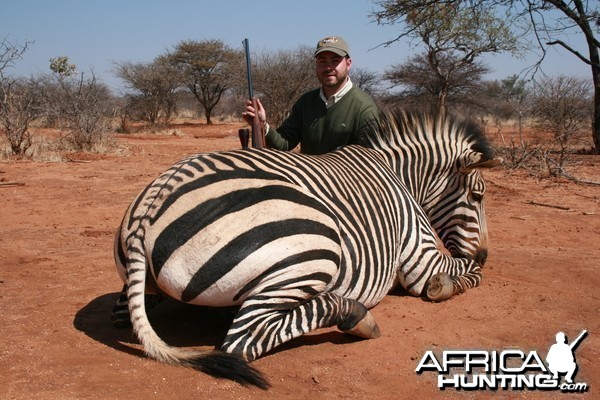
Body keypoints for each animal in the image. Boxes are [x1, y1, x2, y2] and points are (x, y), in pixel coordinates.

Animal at [111, 108, 502, 388]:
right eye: (478, 195)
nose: (484, 253)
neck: (400, 177)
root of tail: (151, 203)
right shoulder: (421, 259)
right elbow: (469, 275)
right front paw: (446, 285)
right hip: (315, 247)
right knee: (244, 339)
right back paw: (357, 316)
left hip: (140, 285)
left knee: (124, 315)